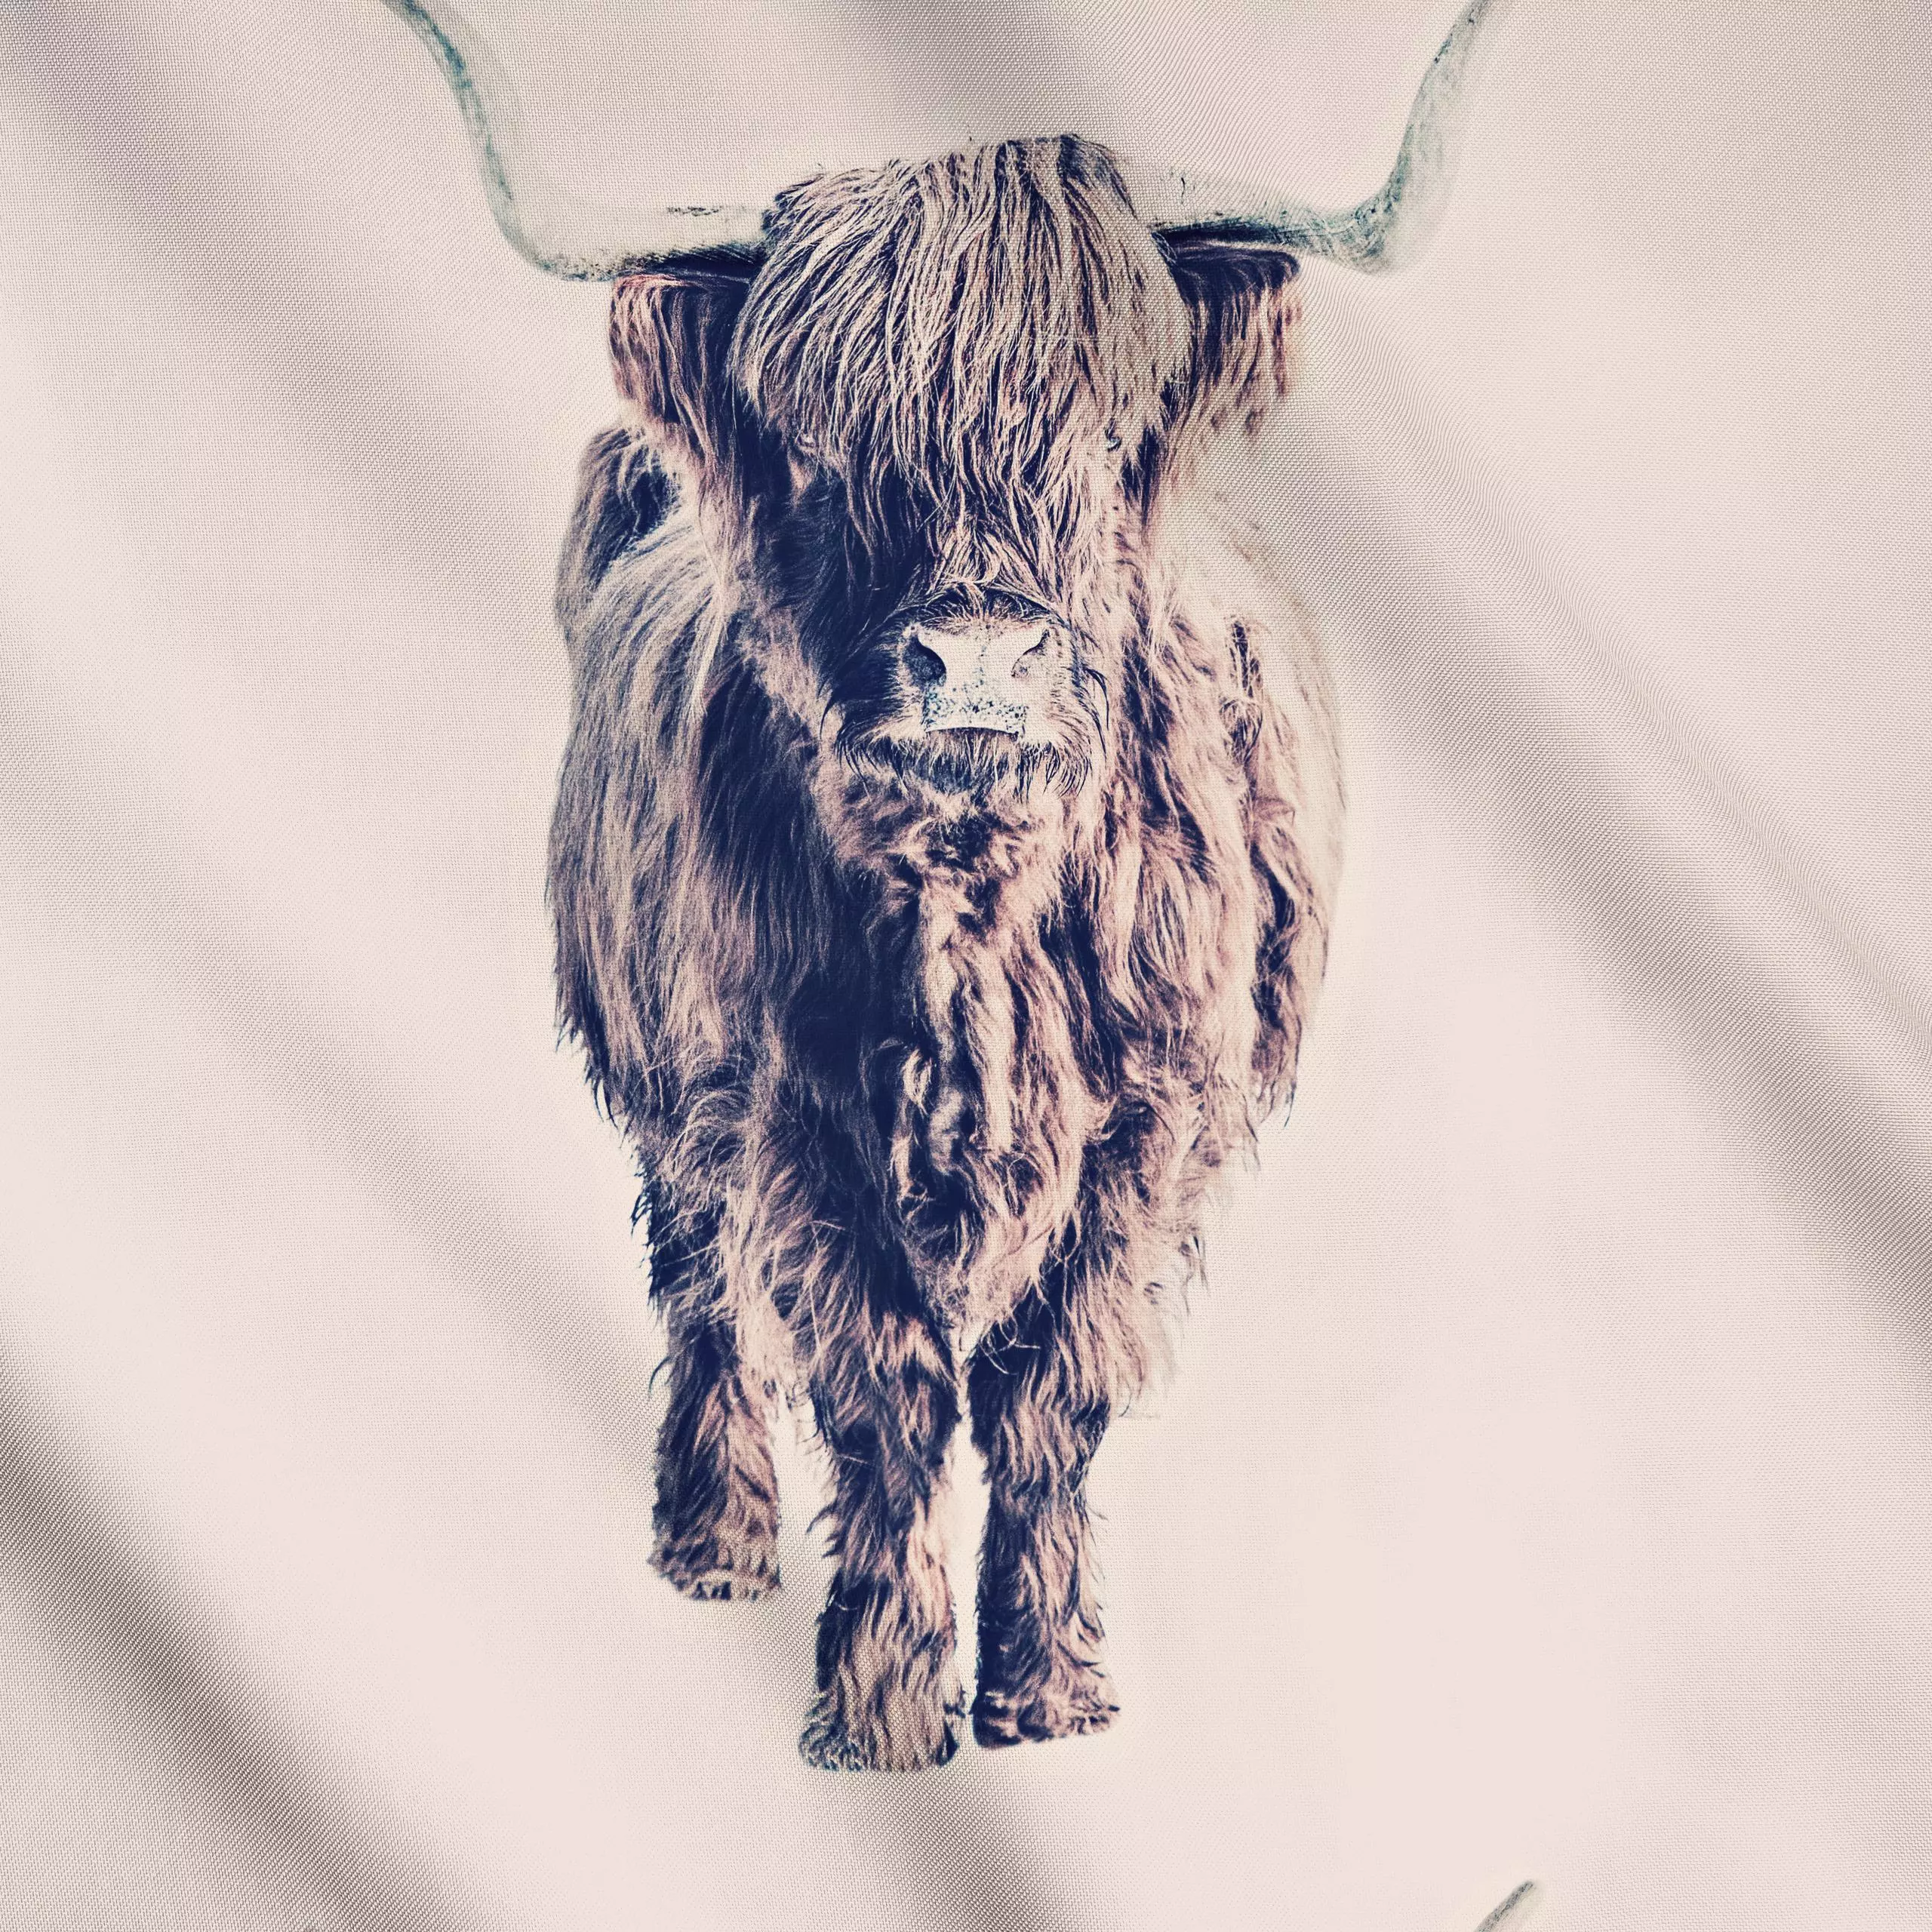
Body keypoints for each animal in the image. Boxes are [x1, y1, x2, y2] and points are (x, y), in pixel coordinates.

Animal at [386, 0, 1506, 1770]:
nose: (973, 656)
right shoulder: (786, 1108)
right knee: (695, 1278)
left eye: (1107, 437)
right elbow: (888, 1387)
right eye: (817, 451)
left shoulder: (1152, 1122)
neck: (977, 911)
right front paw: (883, 1707)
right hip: (664, 1080)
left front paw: (1046, 1690)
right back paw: (712, 1542)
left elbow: (1045, 1389)